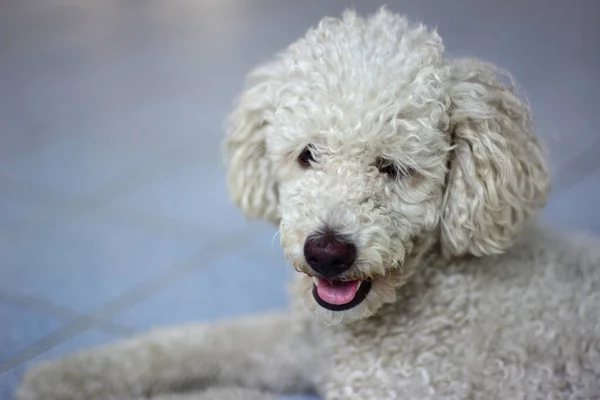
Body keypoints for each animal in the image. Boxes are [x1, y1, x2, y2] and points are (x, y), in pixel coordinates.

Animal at [15, 7, 600, 398]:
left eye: (393, 167)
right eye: (308, 155)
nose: (327, 252)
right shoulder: (297, 342)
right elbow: (194, 339)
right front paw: (63, 376)